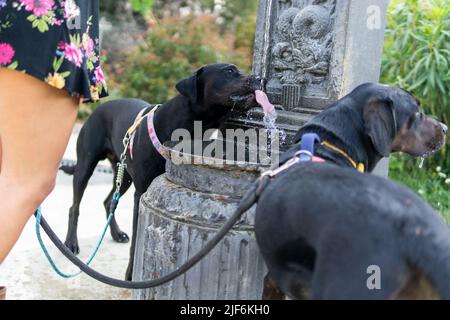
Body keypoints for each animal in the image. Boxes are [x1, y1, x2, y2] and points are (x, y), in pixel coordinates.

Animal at [61, 63, 262, 278]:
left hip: (124, 175)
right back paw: (71, 243)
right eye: (229, 71)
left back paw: (116, 233)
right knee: (75, 206)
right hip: (86, 164)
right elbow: (137, 237)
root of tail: (99, 108)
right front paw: (131, 274)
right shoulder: (141, 193)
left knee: (109, 202)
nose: (261, 79)